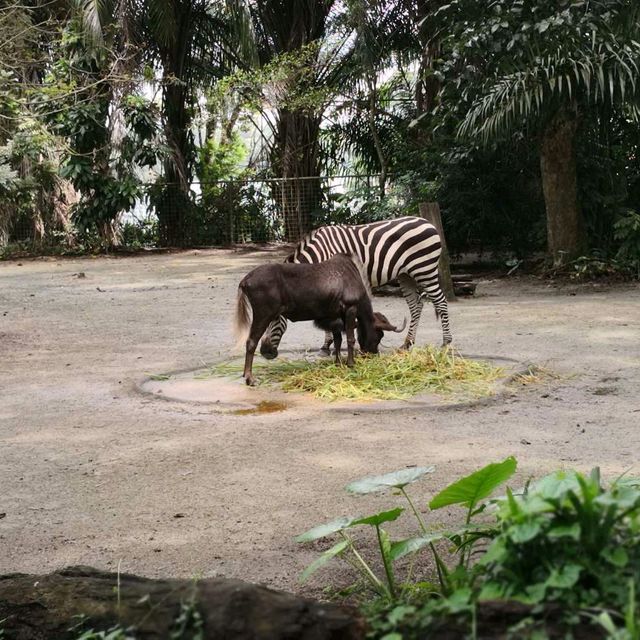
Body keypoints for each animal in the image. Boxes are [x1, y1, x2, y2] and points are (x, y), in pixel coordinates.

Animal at [258, 216, 450, 360]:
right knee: (416, 306)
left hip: (424, 269)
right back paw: (407, 343)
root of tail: (428, 223)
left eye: (274, 319)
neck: (317, 255)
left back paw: (446, 343)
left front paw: (326, 346)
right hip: (406, 275)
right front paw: (327, 346)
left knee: (441, 302)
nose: (265, 353)